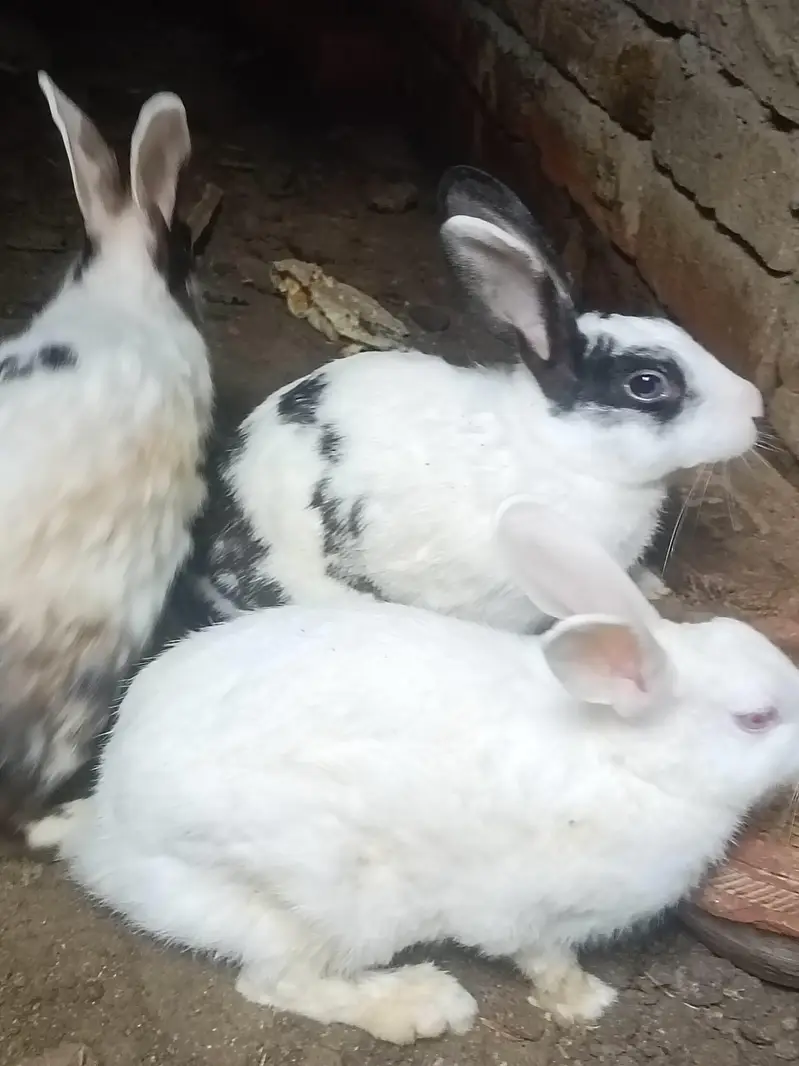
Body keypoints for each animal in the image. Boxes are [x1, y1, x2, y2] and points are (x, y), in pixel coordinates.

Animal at [27, 497, 799, 1045]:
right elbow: (545, 958)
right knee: (277, 983)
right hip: (326, 902)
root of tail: (105, 836)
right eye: (757, 719)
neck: (629, 757)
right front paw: (585, 1003)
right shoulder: (525, 912)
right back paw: (423, 1005)